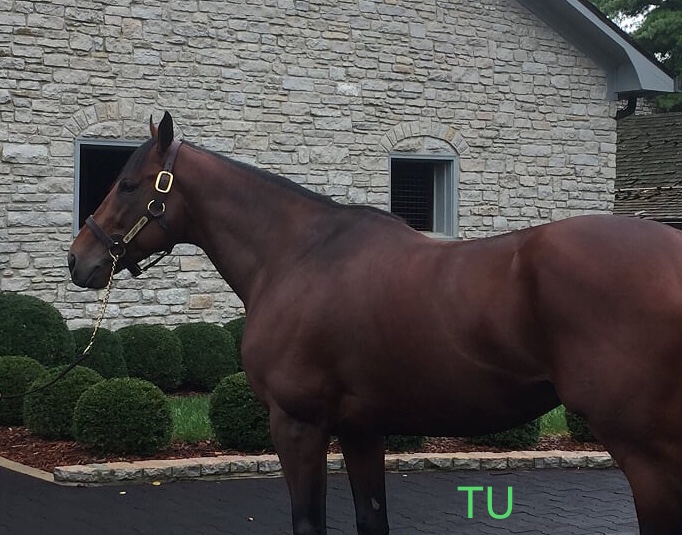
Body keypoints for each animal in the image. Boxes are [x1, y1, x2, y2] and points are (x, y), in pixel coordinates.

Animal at [67, 111, 680, 532]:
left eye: (128, 183)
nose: (79, 260)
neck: (296, 255)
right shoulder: (362, 428)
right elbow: (372, 517)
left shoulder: (298, 424)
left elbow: (308, 520)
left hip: (647, 451)